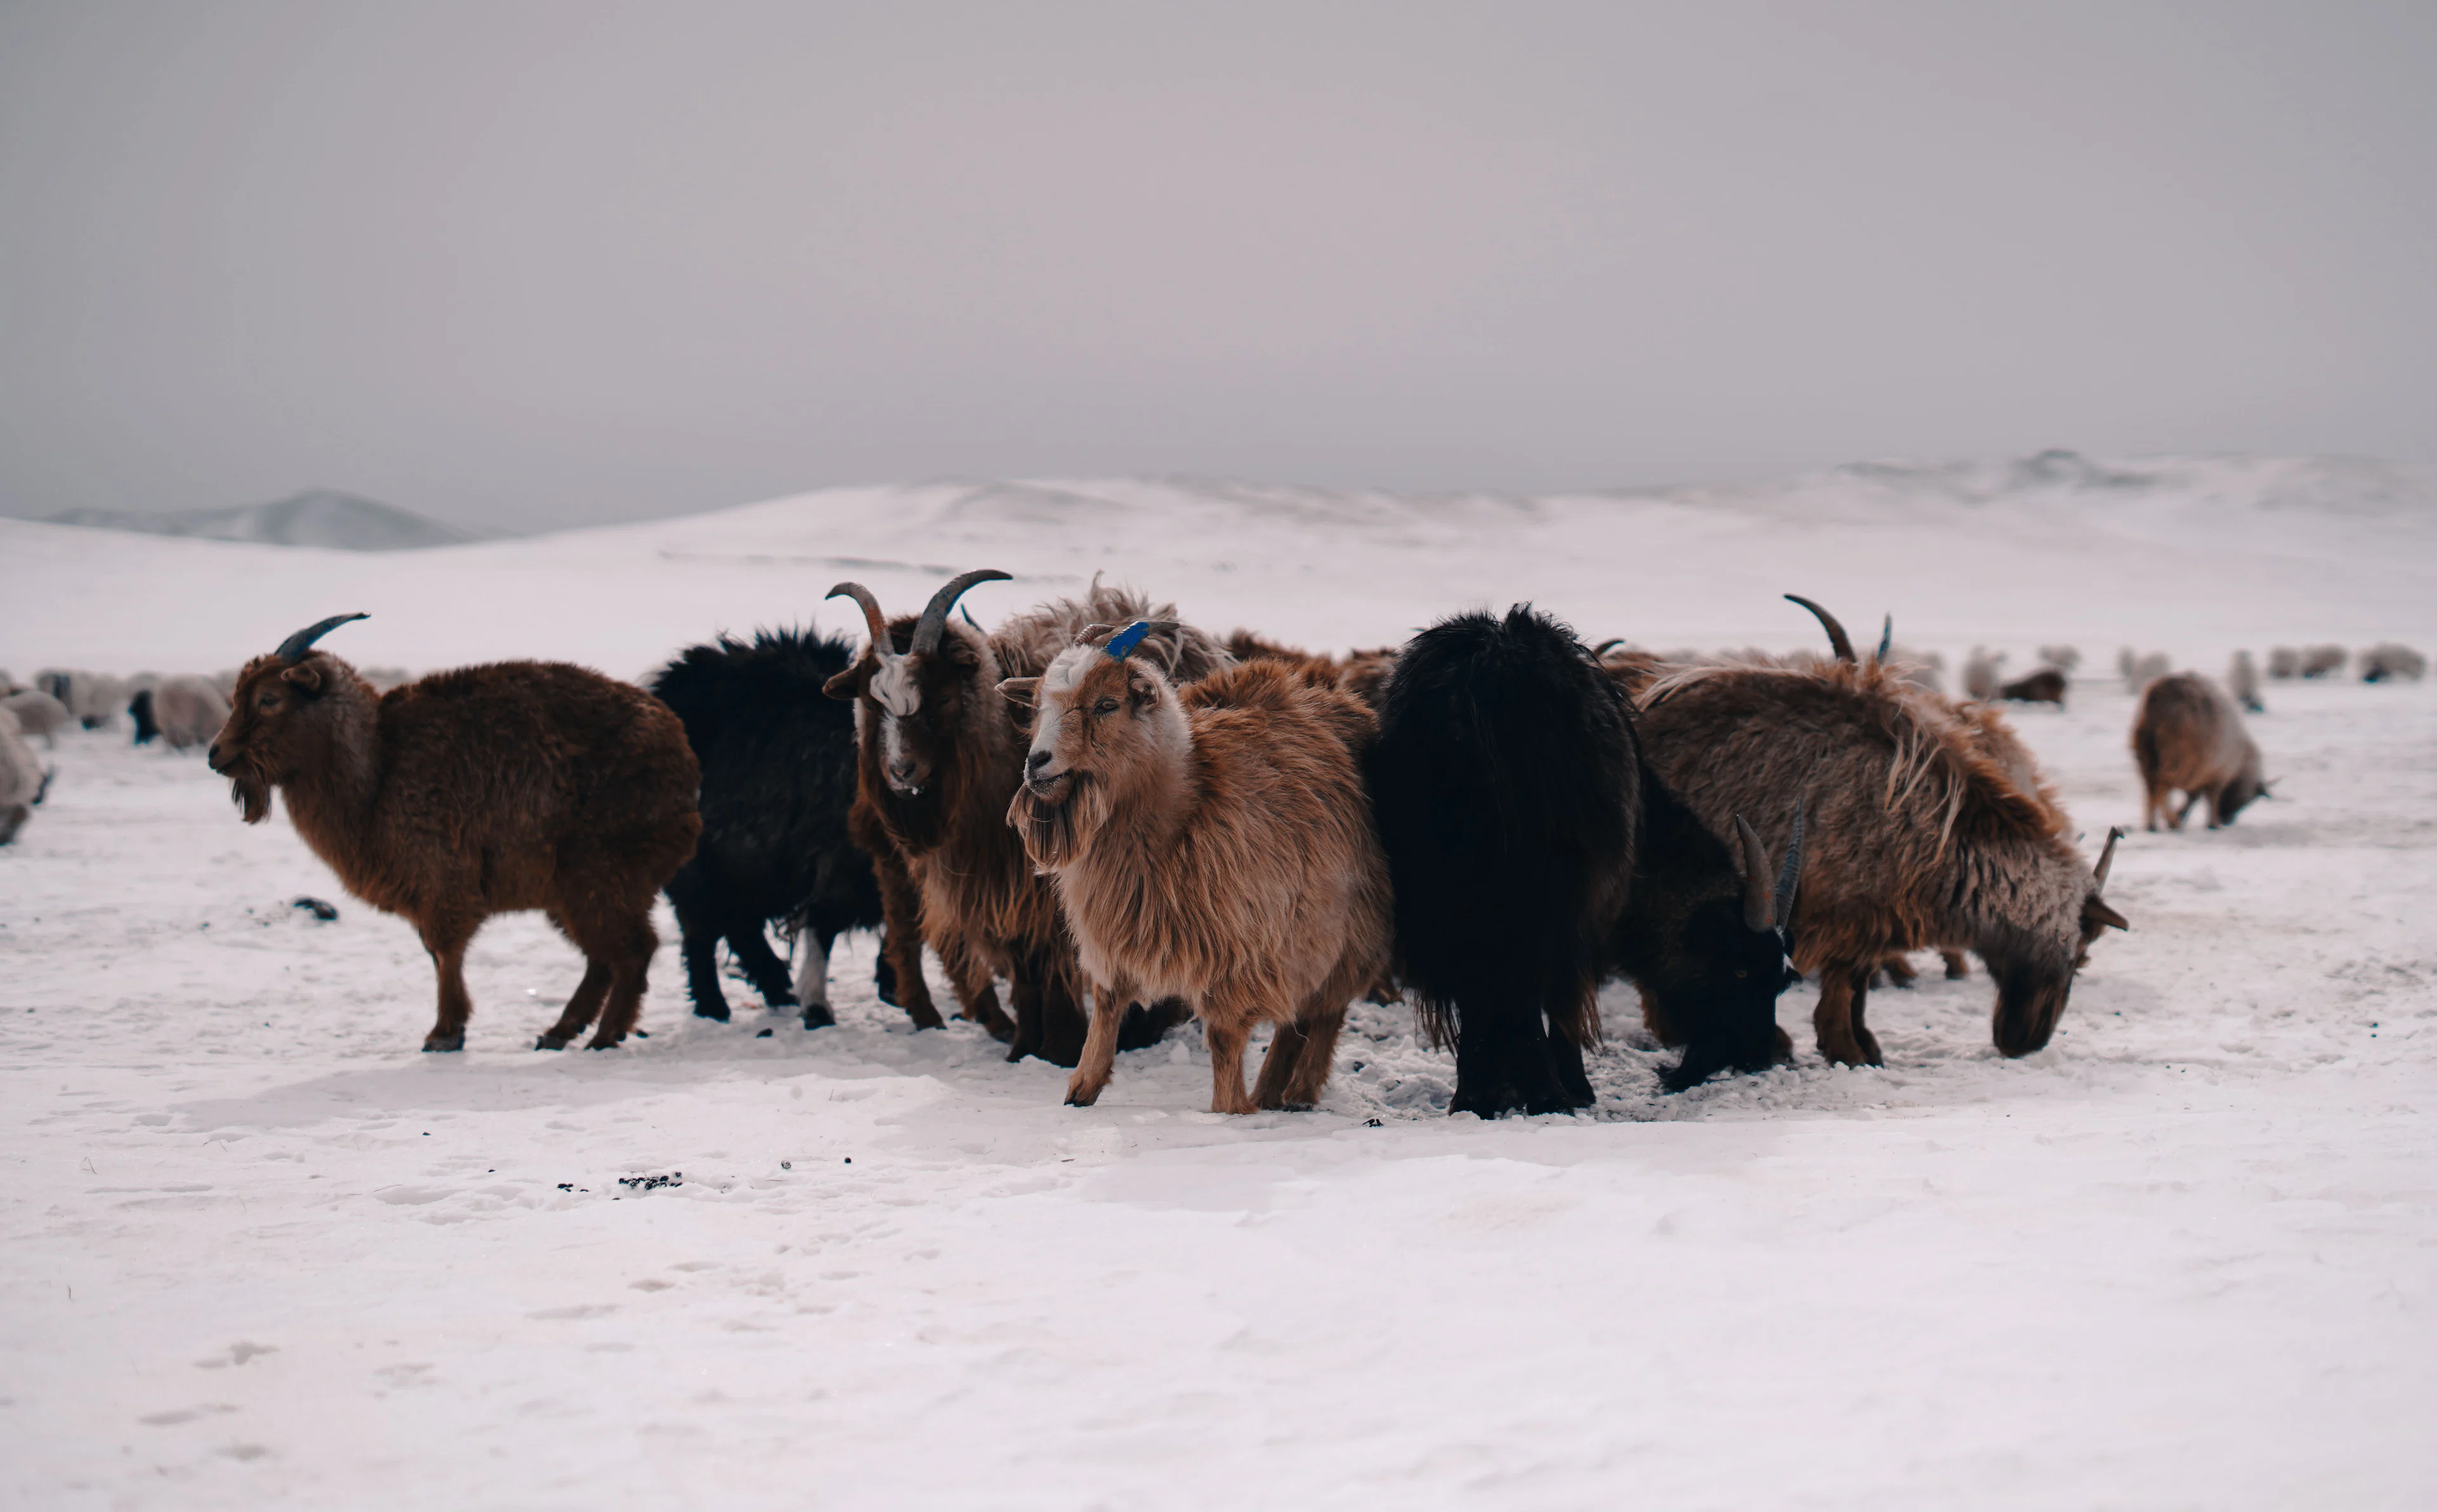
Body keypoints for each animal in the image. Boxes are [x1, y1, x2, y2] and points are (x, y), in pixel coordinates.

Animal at [207, 614, 702, 1051]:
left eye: (270, 698)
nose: (216, 753)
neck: (377, 767)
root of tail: (682, 757)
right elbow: (437, 952)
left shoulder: (441, 876)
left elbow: (445, 951)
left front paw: (445, 1032)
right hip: (575, 889)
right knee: (606, 956)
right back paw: (562, 1031)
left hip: (601, 872)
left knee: (634, 949)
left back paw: (604, 1035)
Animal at [824, 572, 1230, 1065]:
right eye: (870, 702)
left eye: (942, 697)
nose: (901, 770)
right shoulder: (1002, 897)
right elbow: (1025, 969)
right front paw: (1025, 1047)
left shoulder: (1047, 894)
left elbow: (1052, 962)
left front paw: (1060, 1045)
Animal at [1004, 625, 1390, 1112]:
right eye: (1037, 706)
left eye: (1106, 704)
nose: (1036, 762)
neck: (1182, 811)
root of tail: (1332, 697)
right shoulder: (1113, 932)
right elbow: (1107, 1008)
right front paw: (1081, 1091)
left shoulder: (1239, 951)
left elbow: (1224, 1038)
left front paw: (1230, 1109)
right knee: (1297, 1017)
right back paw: (1272, 1092)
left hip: (1346, 933)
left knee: (1323, 1013)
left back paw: (1298, 1092)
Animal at [1638, 596, 2128, 1066]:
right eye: (2081, 956)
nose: (2027, 1042)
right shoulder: (1838, 913)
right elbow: (1839, 988)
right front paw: (1842, 1050)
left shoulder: (1869, 919)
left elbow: (1854, 989)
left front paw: (1860, 1047)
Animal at [2132, 672, 2268, 832]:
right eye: (2247, 801)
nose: (2228, 821)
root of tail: (2156, 697)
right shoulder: (2218, 773)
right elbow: (2211, 798)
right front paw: (2212, 824)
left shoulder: (2202, 773)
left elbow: (2193, 797)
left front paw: (2182, 814)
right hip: (2175, 758)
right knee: (2159, 791)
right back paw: (2173, 822)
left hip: (2146, 755)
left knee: (2150, 792)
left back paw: (2152, 825)